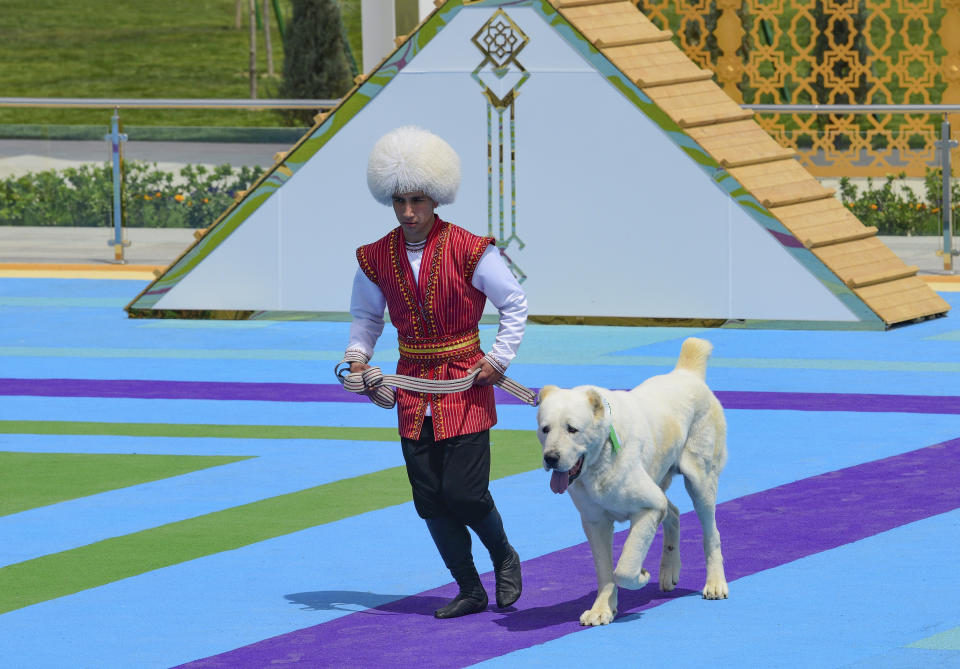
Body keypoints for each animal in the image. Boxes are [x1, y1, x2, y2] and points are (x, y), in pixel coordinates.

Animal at [540, 340, 728, 628]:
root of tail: (686, 373)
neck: (602, 456)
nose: (550, 458)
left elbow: (624, 567)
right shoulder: (595, 522)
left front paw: (641, 575)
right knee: (674, 512)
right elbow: (605, 571)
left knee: (711, 534)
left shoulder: (649, 507)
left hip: (701, 482)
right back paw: (669, 571)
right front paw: (602, 610)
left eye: (572, 429)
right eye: (545, 429)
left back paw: (715, 583)